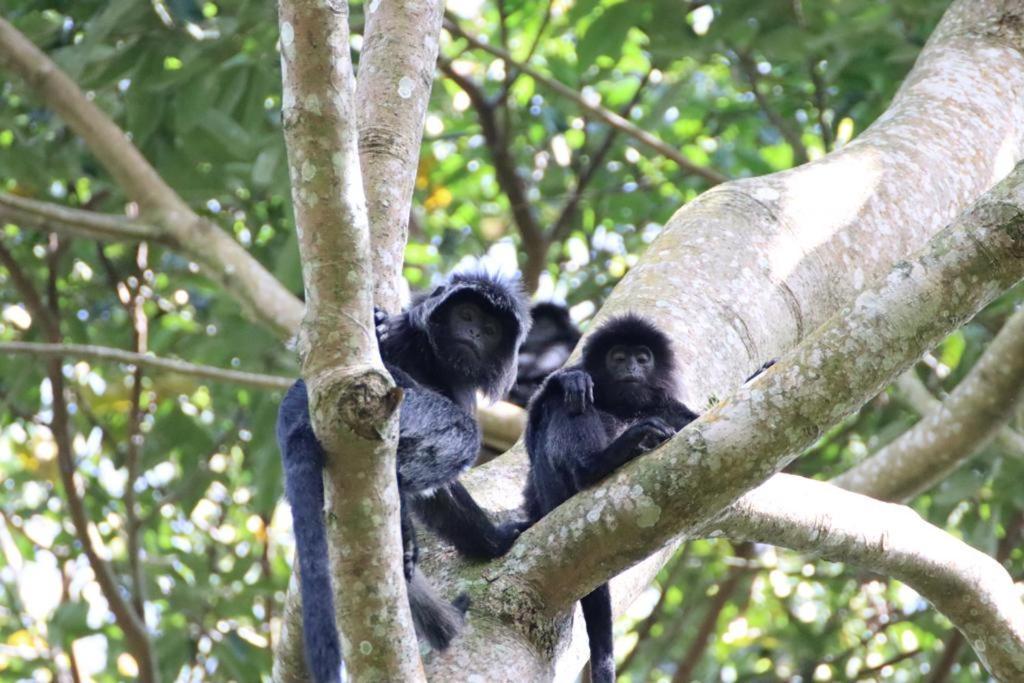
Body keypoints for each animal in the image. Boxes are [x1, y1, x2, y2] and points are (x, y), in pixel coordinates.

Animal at [274, 272, 528, 683]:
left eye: (490, 330)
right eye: (466, 314)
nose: (473, 332)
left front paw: (489, 543)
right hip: (403, 406)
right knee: (455, 434)